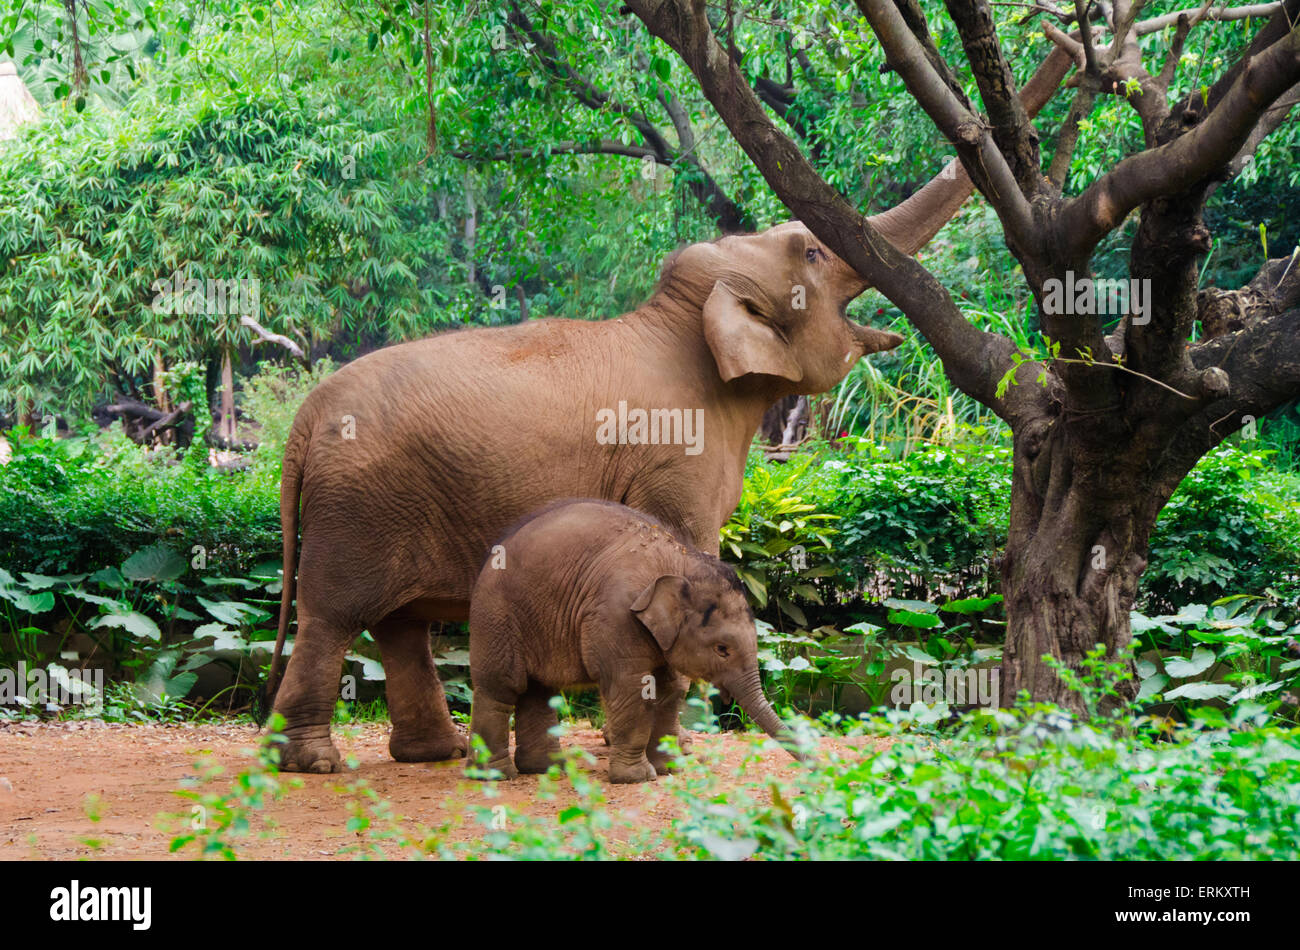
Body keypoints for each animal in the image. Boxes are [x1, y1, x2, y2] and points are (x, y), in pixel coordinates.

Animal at [462, 501, 795, 784]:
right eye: (722, 649)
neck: (678, 561)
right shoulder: (616, 616)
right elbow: (631, 687)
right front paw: (637, 778)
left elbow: (669, 689)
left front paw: (669, 769)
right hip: (496, 618)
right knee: (501, 688)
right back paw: (494, 775)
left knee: (538, 691)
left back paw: (547, 769)